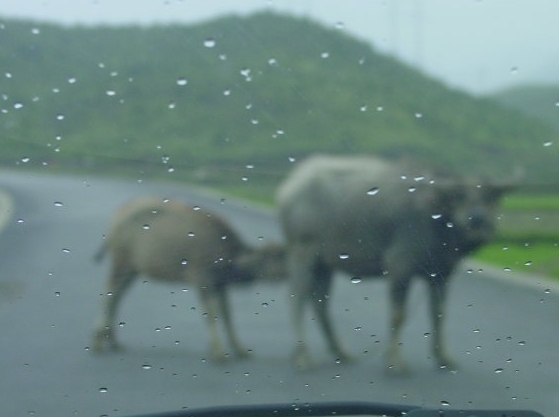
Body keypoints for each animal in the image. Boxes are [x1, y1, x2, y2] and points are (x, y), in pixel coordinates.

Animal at [93, 197, 284, 360]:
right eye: (273, 257)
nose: (286, 271)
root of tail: (116, 219)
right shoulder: (202, 280)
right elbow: (211, 313)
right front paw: (218, 351)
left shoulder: (220, 284)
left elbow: (227, 315)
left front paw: (239, 349)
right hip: (121, 265)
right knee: (109, 294)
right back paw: (98, 342)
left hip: (132, 270)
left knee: (116, 297)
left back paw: (113, 341)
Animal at [276, 154, 512, 372]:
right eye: (459, 196)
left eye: (491, 196)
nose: (478, 220)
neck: (437, 219)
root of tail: (290, 186)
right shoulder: (399, 267)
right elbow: (398, 315)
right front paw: (395, 362)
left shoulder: (441, 275)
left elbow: (438, 314)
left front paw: (443, 357)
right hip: (301, 251)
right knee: (296, 298)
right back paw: (303, 355)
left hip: (325, 263)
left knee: (319, 303)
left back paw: (340, 351)